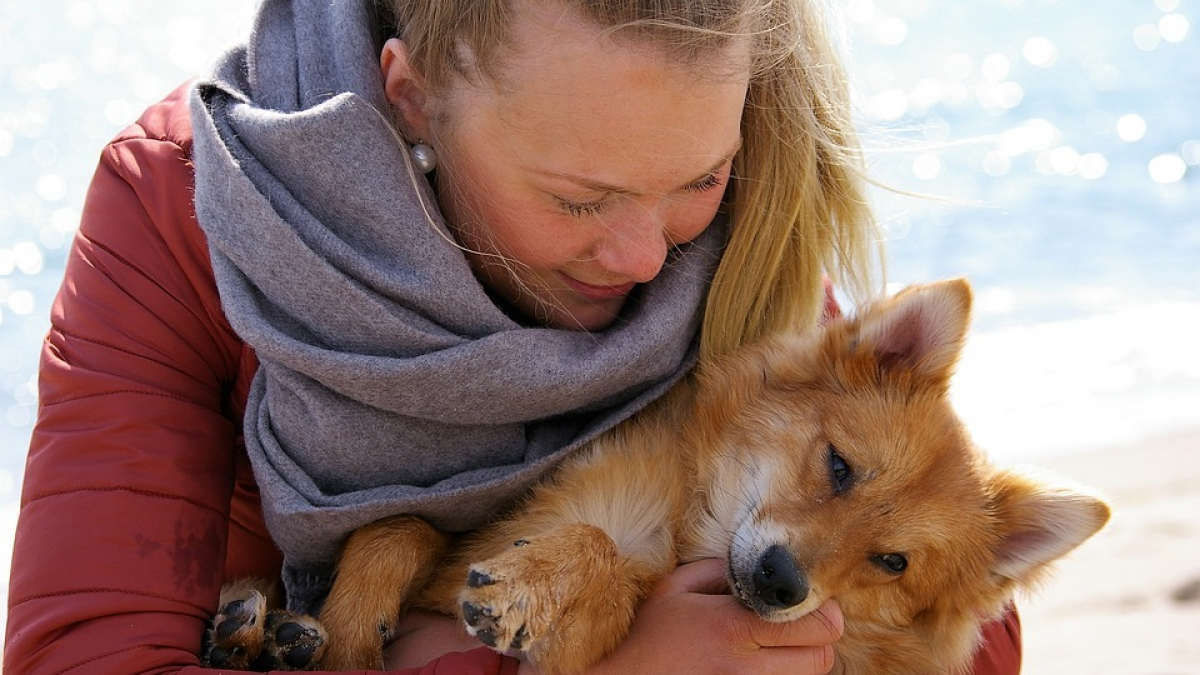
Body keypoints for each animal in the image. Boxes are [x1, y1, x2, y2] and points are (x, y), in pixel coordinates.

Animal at [206, 276, 1113, 667]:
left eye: (892, 562)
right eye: (839, 465)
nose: (783, 582)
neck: (679, 532)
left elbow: (594, 575)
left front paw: (542, 586)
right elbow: (403, 525)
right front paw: (350, 620)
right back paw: (254, 628)